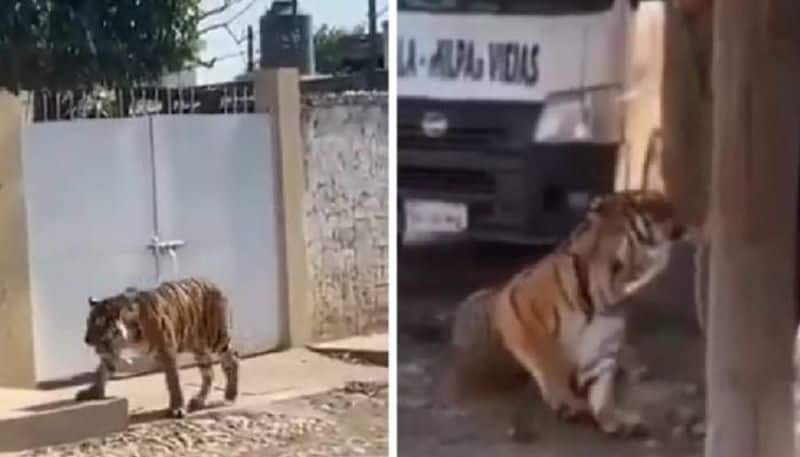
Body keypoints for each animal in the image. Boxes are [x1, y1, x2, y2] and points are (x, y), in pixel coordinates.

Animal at [74, 276, 238, 418]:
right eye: (88, 321)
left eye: (99, 322)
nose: (86, 340)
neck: (126, 339)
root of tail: (212, 283)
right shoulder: (112, 351)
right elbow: (101, 371)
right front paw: (93, 393)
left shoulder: (167, 350)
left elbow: (173, 381)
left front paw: (177, 408)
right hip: (199, 347)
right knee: (209, 372)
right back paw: (198, 400)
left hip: (216, 338)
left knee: (233, 358)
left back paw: (231, 394)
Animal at [444, 190, 688, 438]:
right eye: (645, 201)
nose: (681, 222)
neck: (613, 293)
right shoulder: (520, 308)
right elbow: (551, 361)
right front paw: (569, 402)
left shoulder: (601, 345)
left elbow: (602, 388)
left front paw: (615, 419)